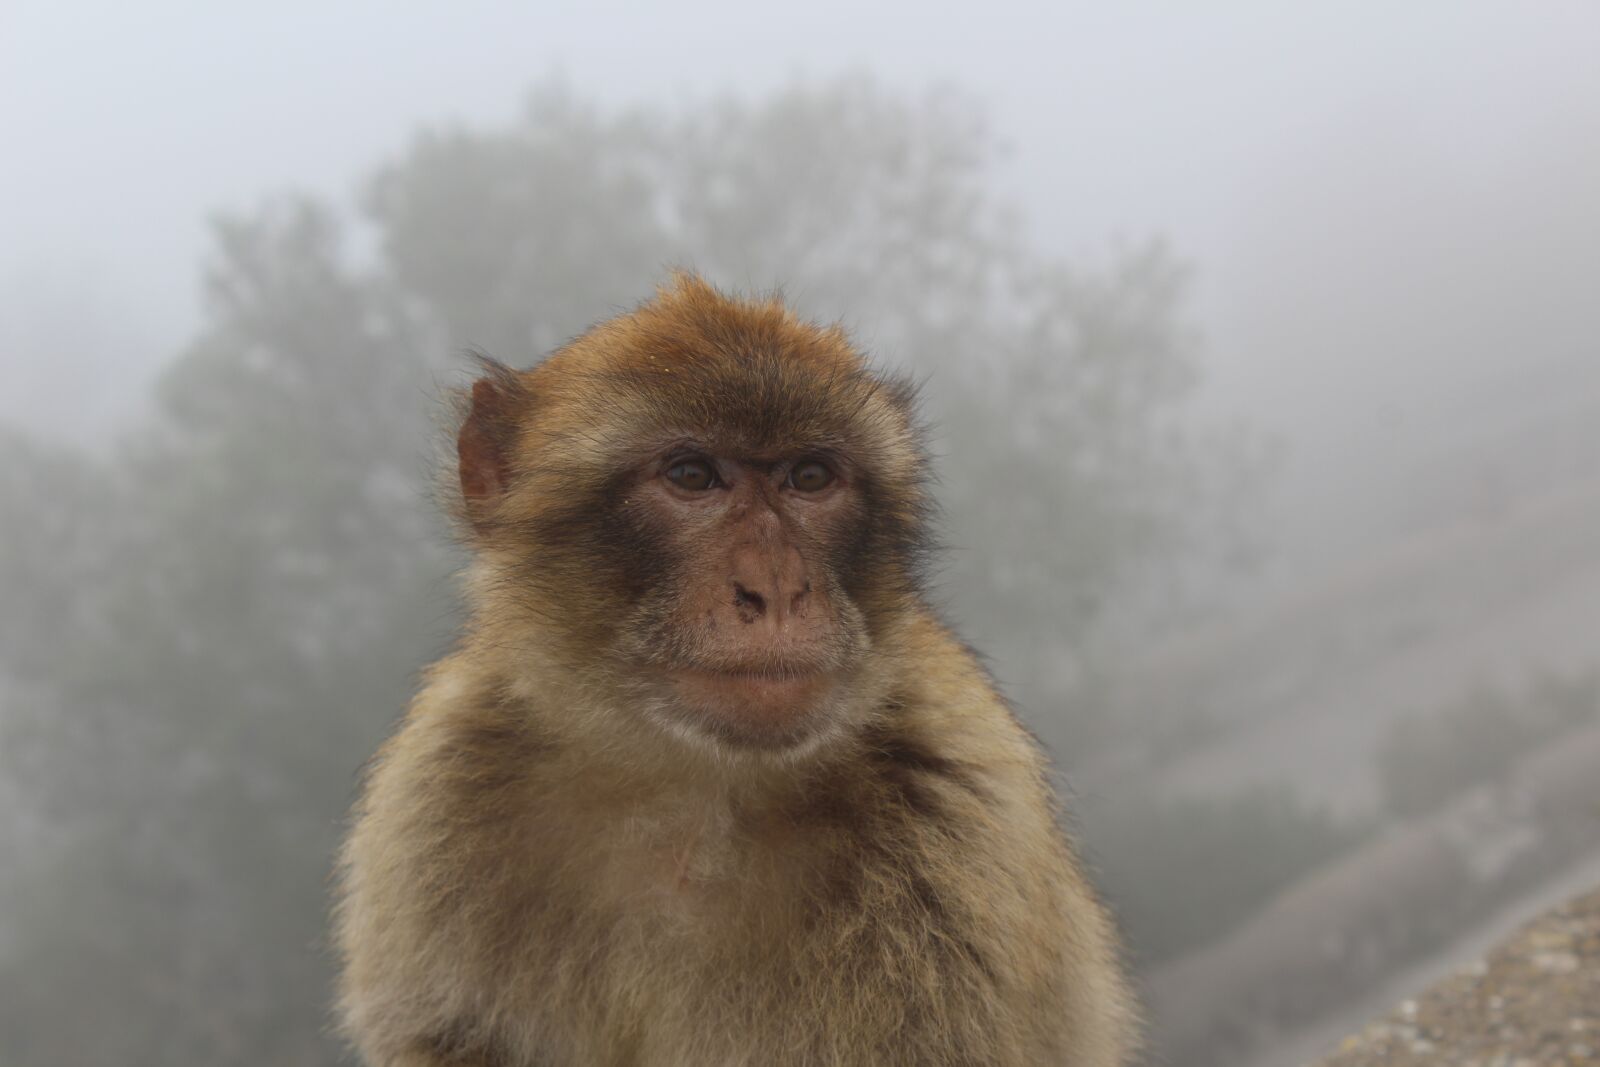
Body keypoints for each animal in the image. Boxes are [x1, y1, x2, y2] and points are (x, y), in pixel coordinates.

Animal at [333, 274, 1139, 1067]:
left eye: (810, 476)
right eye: (692, 475)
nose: (776, 587)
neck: (690, 786)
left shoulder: (960, 826)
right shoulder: (437, 800)